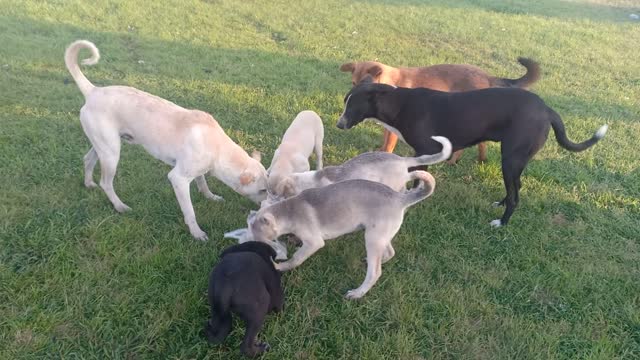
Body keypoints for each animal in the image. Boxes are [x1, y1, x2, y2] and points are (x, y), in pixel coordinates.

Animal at [63, 40, 268, 240]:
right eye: (263, 190)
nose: (268, 210)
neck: (218, 147)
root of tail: (93, 91)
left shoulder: (196, 169)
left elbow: (202, 182)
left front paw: (210, 196)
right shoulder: (178, 179)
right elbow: (190, 211)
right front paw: (197, 233)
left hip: (104, 146)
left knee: (87, 160)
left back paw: (89, 183)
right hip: (112, 153)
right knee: (106, 183)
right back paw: (120, 206)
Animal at [338, 76, 608, 226]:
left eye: (353, 106)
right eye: (345, 102)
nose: (339, 124)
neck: (398, 103)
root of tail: (547, 110)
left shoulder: (426, 150)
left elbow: (418, 181)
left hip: (510, 160)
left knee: (516, 196)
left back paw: (502, 223)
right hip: (516, 161)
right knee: (515, 187)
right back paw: (500, 203)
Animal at [340, 57, 540, 163]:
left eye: (362, 84)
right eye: (353, 82)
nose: (349, 96)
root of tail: (487, 76)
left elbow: (388, 146)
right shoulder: (389, 126)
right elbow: (384, 142)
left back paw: (454, 160)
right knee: (481, 143)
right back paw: (478, 160)